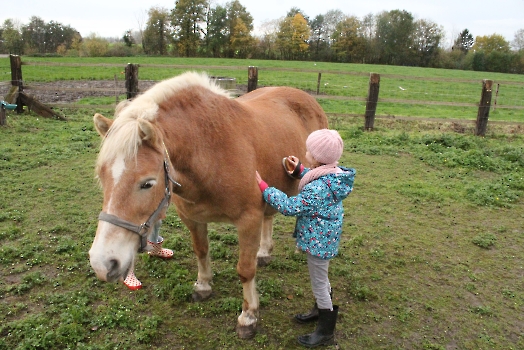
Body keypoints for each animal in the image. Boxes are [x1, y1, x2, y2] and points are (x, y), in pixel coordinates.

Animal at [90, 70, 328, 336]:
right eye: (101, 176)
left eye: (147, 183)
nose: (102, 264)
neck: (209, 150)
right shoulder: (192, 219)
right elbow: (201, 251)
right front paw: (203, 286)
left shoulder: (248, 220)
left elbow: (245, 270)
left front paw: (248, 316)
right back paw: (264, 252)